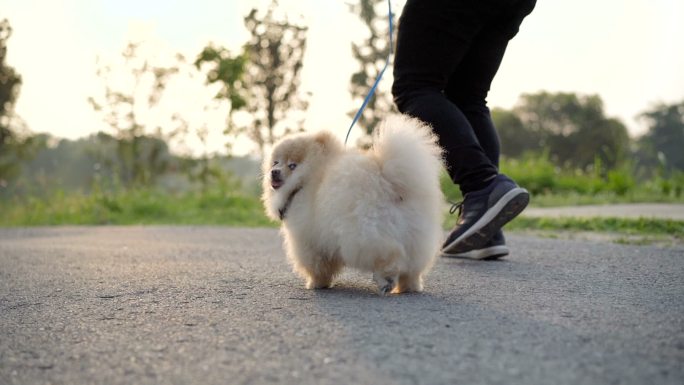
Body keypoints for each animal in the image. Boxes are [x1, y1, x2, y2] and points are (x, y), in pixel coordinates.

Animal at [260, 114, 444, 294]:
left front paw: (316, 283)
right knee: (412, 267)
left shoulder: (307, 240)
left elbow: (317, 266)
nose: (274, 172)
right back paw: (408, 287)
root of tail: (388, 180)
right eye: (276, 162)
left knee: (389, 254)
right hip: (415, 236)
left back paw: (386, 280)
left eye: (292, 165)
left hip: (363, 234)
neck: (306, 179)